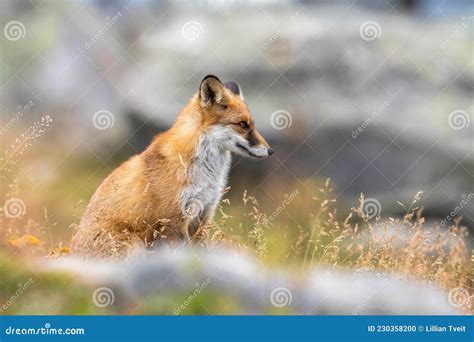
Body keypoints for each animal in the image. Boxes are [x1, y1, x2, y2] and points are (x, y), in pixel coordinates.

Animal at [72, 75, 276, 260]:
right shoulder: (174, 220)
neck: (206, 175)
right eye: (242, 125)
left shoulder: (203, 216)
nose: (270, 151)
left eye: (252, 125)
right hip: (134, 244)